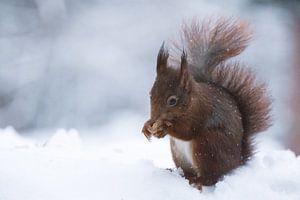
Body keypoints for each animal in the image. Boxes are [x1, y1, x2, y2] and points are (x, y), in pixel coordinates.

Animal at [141, 18, 272, 190]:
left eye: (173, 101)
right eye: (151, 94)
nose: (155, 118)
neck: (191, 103)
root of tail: (236, 162)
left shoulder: (201, 112)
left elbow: (187, 131)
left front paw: (164, 128)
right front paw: (146, 126)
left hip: (207, 147)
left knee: (211, 176)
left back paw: (199, 181)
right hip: (179, 154)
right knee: (188, 172)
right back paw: (180, 174)